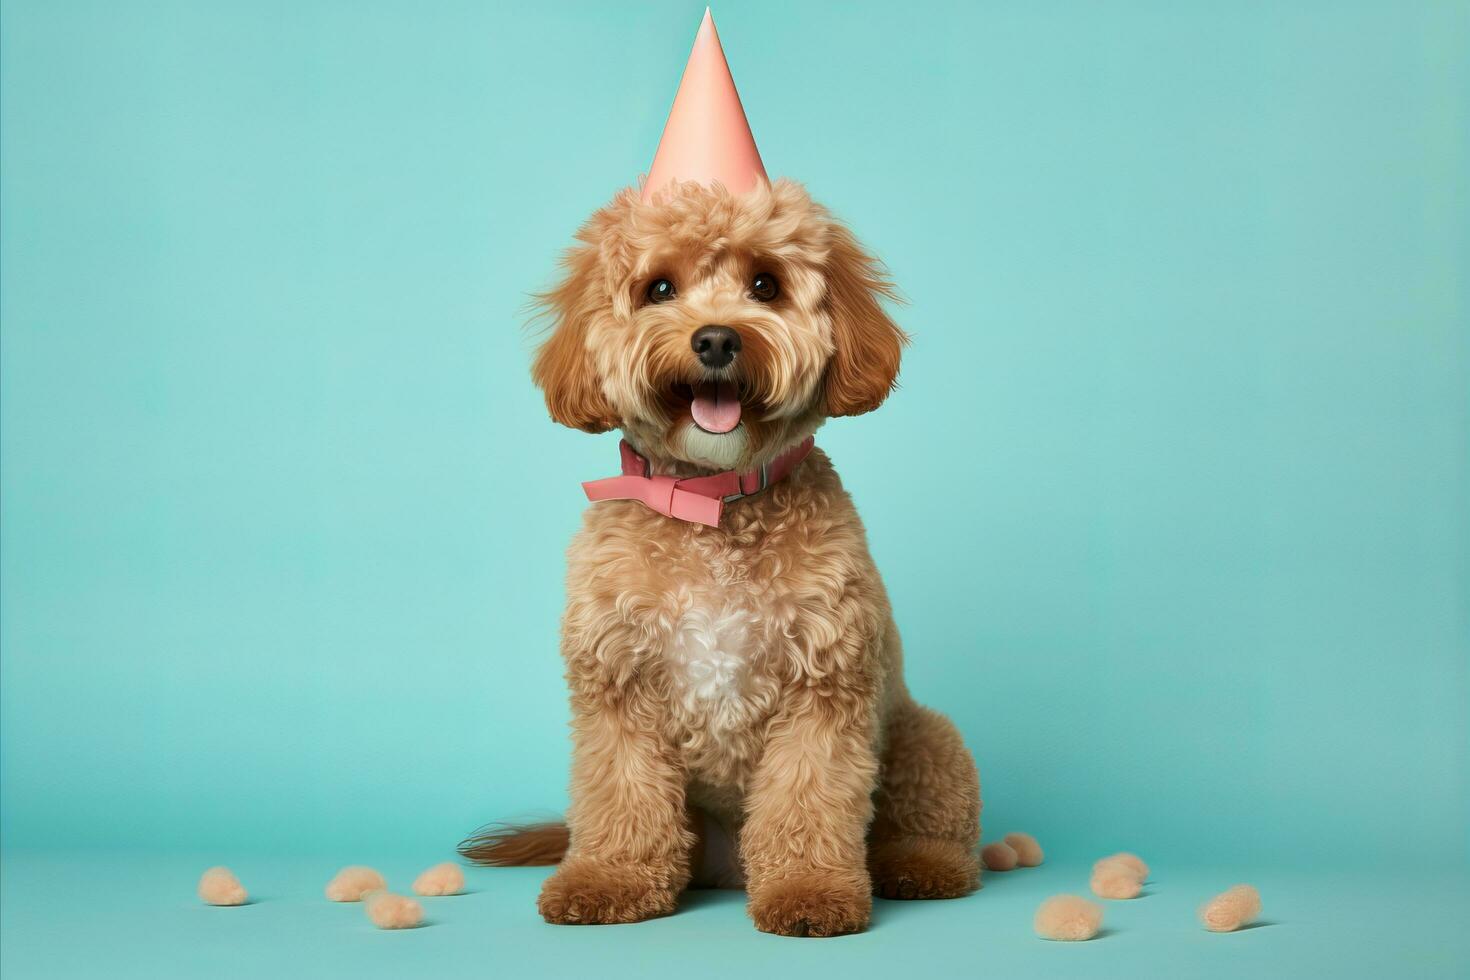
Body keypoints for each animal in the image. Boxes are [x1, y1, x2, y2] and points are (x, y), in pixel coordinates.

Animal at [458, 179, 981, 940]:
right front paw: (609, 879)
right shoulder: (618, 688)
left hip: (925, 737)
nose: (716, 338)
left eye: (765, 284)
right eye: (659, 288)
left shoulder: (825, 690)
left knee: (924, 823)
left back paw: (921, 866)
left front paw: (809, 892)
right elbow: (621, 795)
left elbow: (808, 801)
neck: (713, 502)